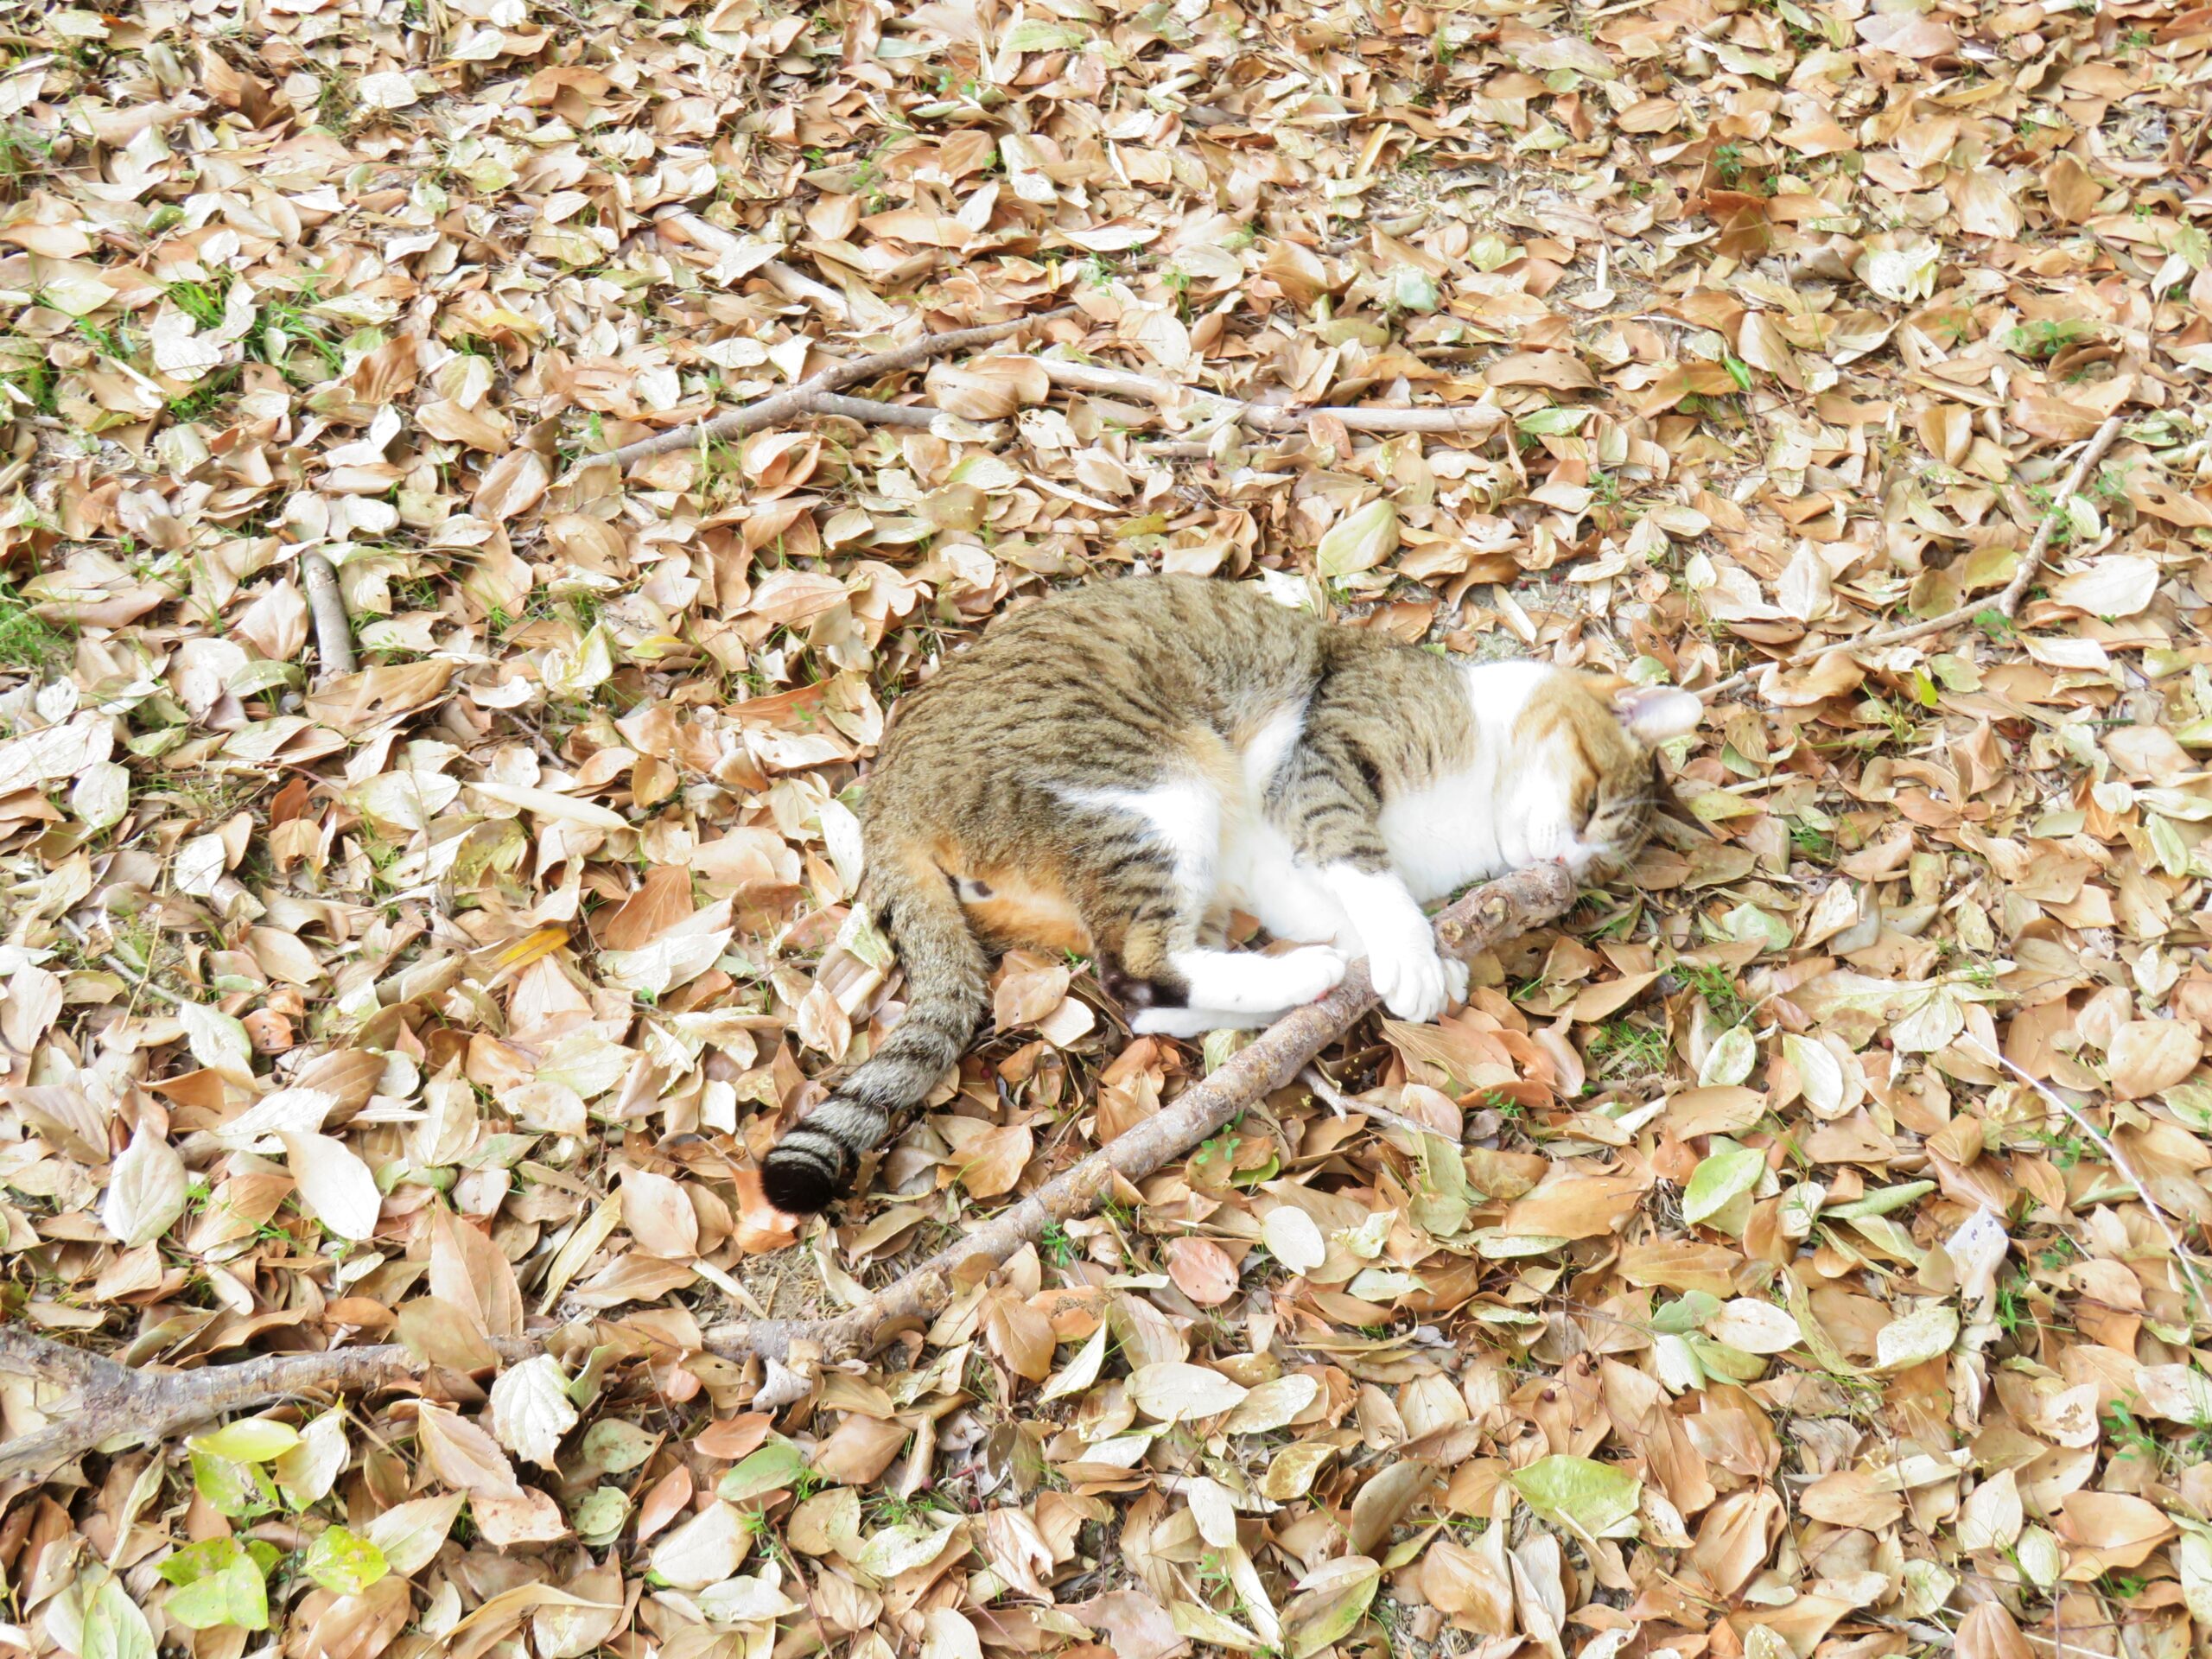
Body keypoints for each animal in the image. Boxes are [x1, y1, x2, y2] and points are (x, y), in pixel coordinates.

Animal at [760, 579, 1689, 1211]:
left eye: (1596, 868)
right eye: (1591, 807)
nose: (1560, 866)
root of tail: (891, 795)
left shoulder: (1276, 868)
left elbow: (1341, 900)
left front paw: (1411, 956)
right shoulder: (1323, 758)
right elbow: (1364, 865)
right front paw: (1415, 956)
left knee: (1139, 993)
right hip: (1156, 787)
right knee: (1137, 965)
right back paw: (1306, 977)